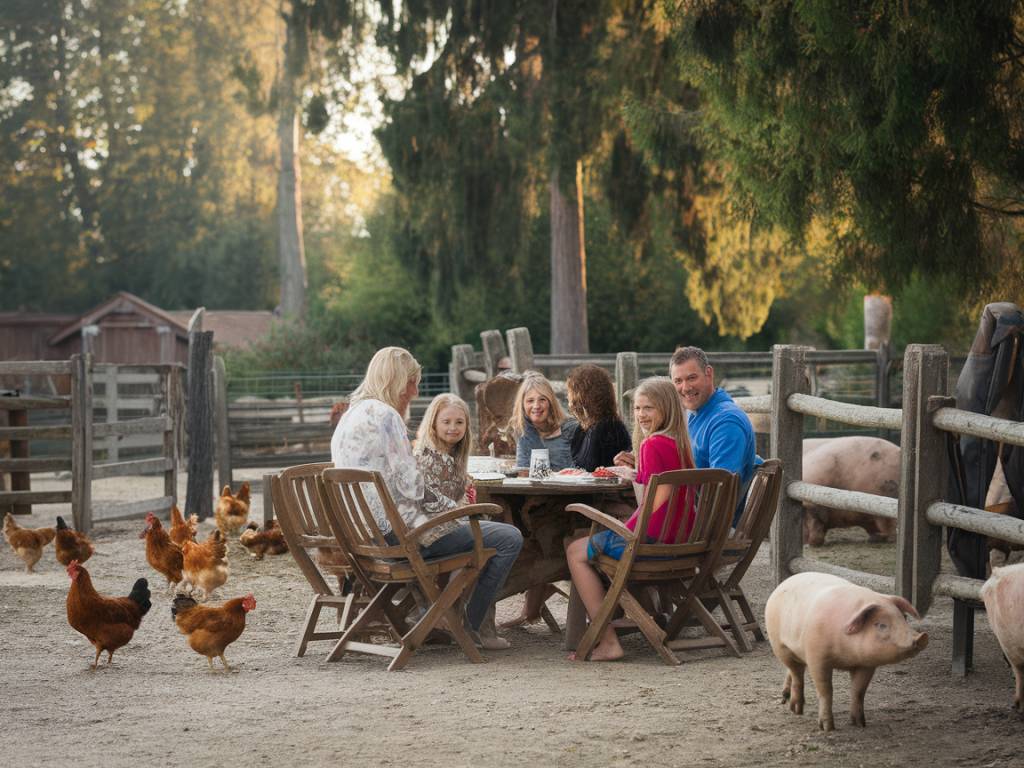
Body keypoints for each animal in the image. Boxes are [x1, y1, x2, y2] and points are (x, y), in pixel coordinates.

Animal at [770, 573, 929, 733]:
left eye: (903, 618)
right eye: (881, 625)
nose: (922, 637)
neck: (847, 655)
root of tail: (785, 582)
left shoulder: (866, 664)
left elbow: (858, 691)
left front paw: (860, 724)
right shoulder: (816, 657)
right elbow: (826, 690)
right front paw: (828, 728)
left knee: (792, 671)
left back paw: (785, 698)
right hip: (779, 645)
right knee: (796, 673)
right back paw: (796, 710)